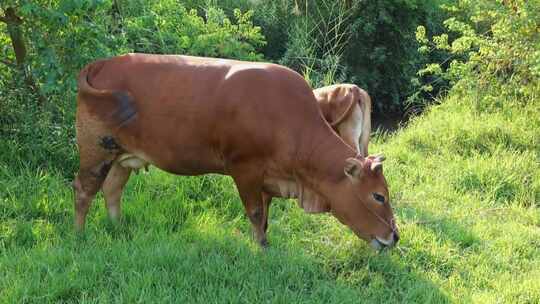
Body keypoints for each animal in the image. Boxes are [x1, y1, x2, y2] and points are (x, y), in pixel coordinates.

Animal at [74, 54, 398, 249]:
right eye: (378, 196)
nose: (394, 236)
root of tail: (103, 63)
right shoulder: (245, 168)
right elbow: (255, 213)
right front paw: (261, 250)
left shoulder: (268, 178)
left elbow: (265, 215)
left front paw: (265, 243)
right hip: (94, 151)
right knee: (83, 189)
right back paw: (80, 236)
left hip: (120, 155)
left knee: (112, 189)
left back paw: (118, 227)